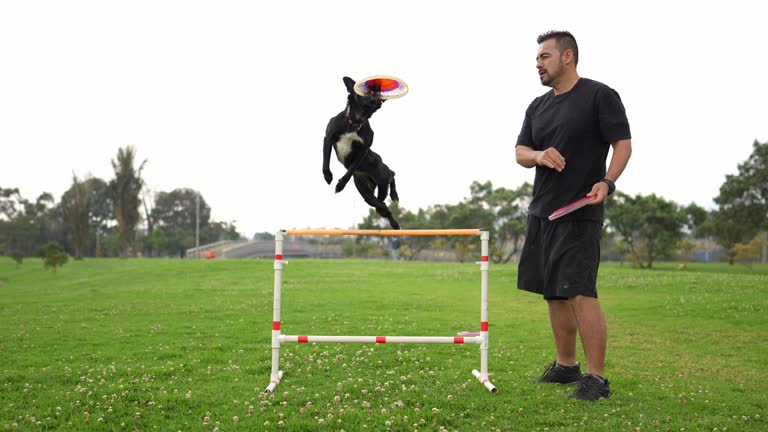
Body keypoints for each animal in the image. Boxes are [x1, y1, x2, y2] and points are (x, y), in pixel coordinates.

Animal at [320, 75, 402, 230]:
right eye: (367, 91)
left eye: (378, 93)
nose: (378, 101)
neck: (355, 122)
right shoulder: (328, 139)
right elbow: (325, 162)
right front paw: (328, 177)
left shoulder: (363, 150)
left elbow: (350, 169)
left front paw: (340, 185)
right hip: (366, 192)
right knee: (381, 205)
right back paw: (393, 221)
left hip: (381, 176)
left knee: (391, 175)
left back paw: (394, 197)